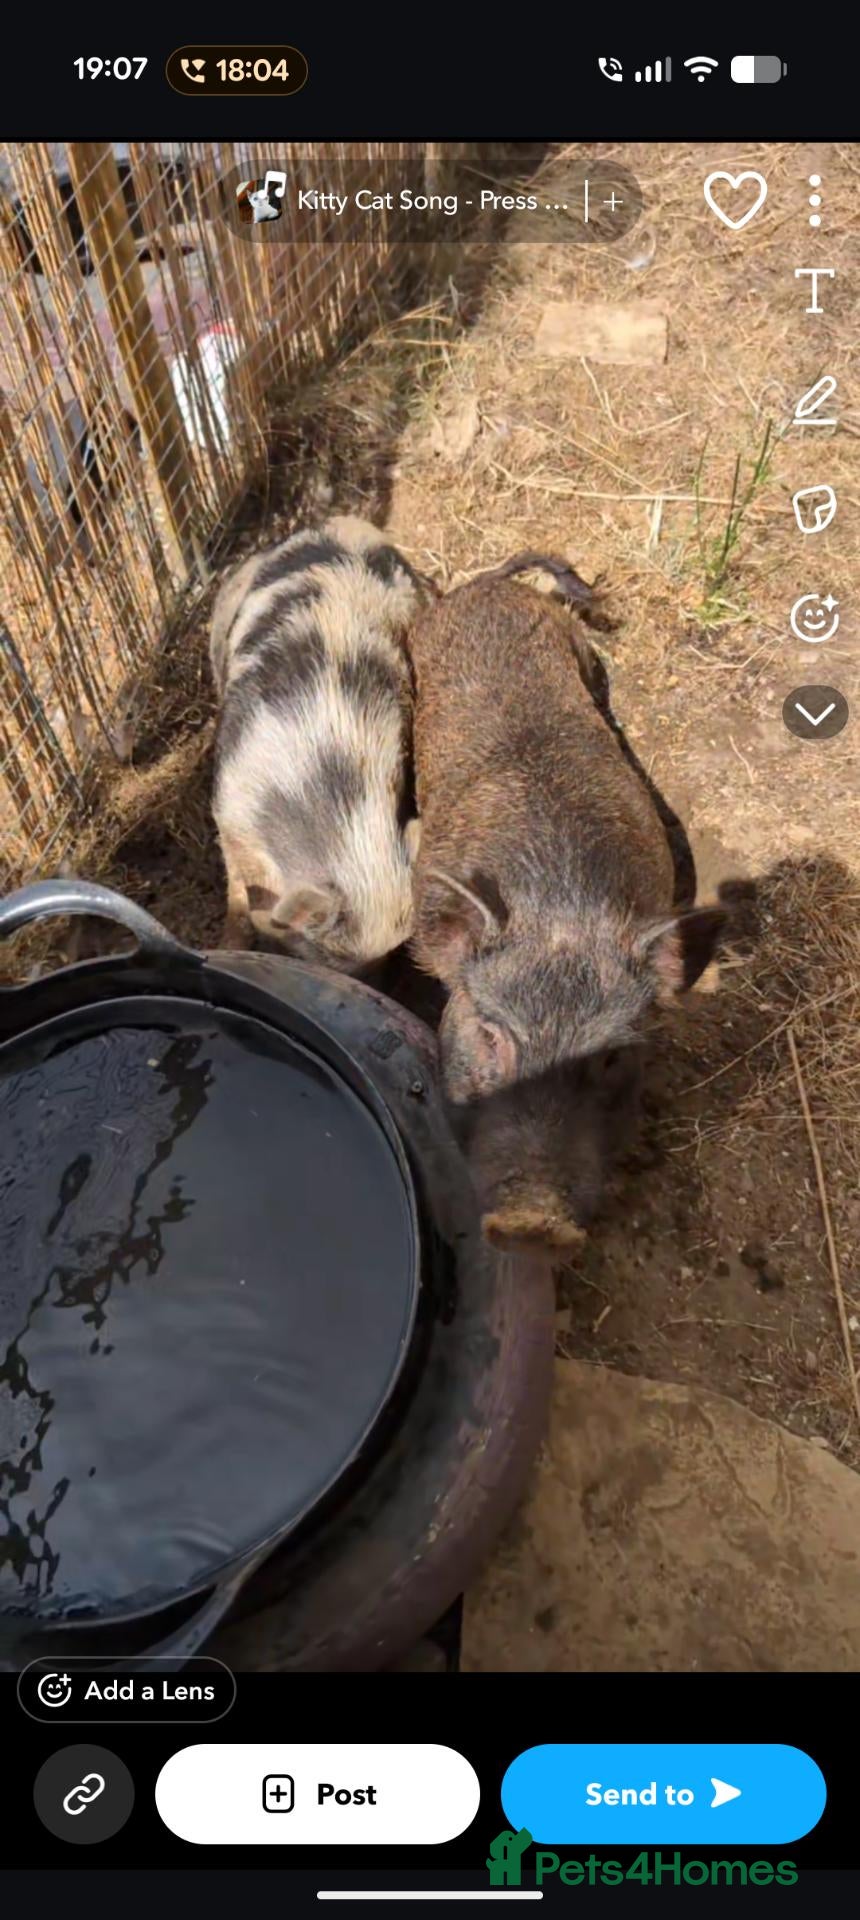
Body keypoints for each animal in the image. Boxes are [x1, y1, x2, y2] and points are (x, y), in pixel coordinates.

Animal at [210, 515, 428, 967]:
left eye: (391, 955)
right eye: (326, 955)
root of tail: (347, 523)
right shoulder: (229, 812)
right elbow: (239, 892)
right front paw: (227, 944)